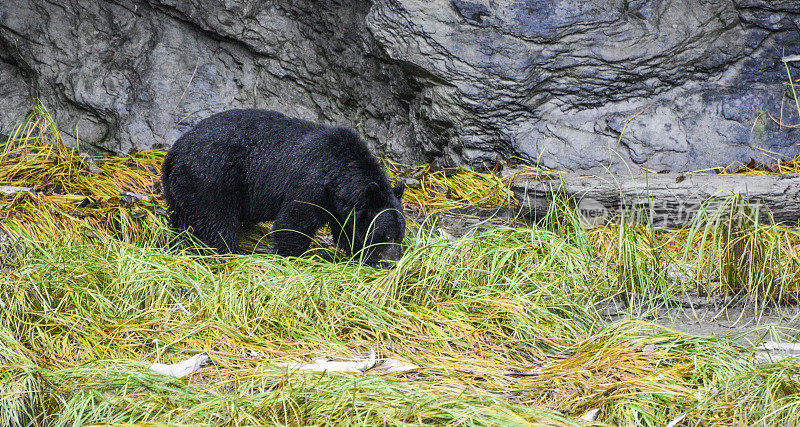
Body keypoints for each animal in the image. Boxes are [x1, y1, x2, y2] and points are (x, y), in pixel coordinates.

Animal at [161, 108, 406, 266]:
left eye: (400, 234)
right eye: (385, 235)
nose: (394, 262)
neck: (341, 172)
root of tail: (174, 152)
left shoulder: (339, 206)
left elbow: (347, 230)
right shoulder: (312, 183)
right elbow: (294, 222)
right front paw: (288, 257)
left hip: (180, 187)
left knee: (181, 219)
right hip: (212, 176)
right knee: (217, 218)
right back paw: (229, 251)